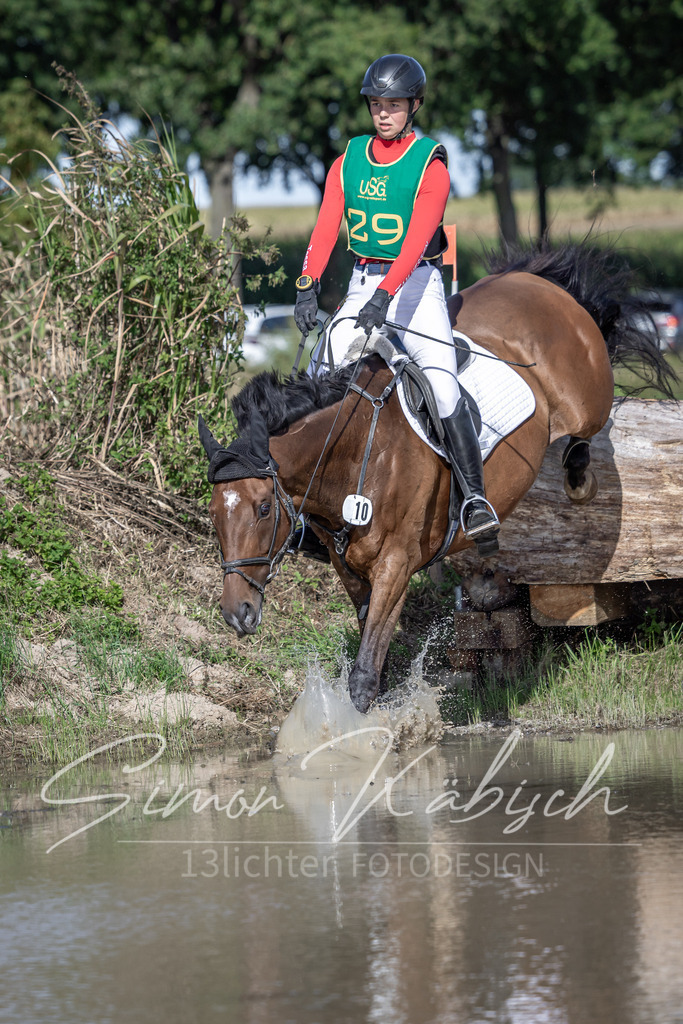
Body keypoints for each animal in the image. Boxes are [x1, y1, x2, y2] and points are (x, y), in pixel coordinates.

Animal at [199, 241, 675, 714]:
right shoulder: (348, 567)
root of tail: (536, 281)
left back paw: (573, 482)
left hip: (587, 397)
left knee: (586, 432)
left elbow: (364, 676)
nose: (237, 614)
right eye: (213, 515)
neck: (353, 452)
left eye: (263, 508)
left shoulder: (396, 564)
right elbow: (374, 654)